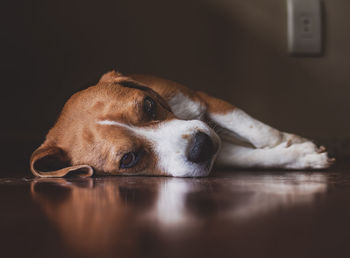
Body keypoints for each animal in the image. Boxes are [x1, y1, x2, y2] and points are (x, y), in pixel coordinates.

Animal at [30, 70, 334, 177]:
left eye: (148, 105)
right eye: (128, 159)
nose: (201, 147)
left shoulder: (204, 100)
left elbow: (259, 131)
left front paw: (294, 143)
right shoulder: (219, 153)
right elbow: (255, 158)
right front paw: (300, 156)